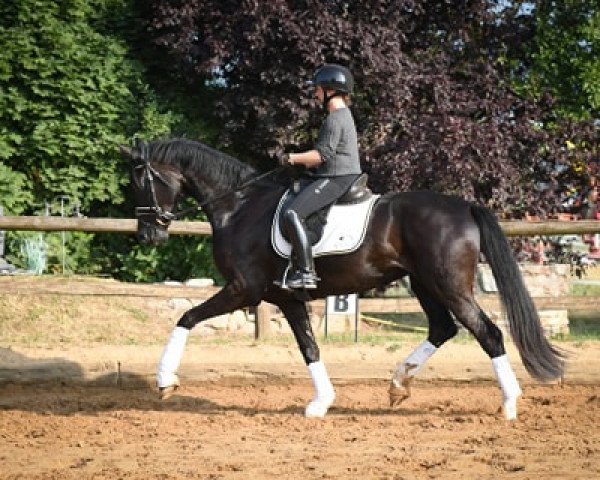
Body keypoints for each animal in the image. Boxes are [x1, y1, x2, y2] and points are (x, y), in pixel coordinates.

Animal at [120, 139, 564, 420]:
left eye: (140, 179)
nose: (148, 235)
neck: (240, 206)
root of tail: (464, 206)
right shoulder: (287, 299)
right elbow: (309, 348)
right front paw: (321, 403)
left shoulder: (243, 289)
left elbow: (186, 318)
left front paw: (165, 381)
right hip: (424, 284)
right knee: (442, 329)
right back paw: (398, 384)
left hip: (450, 286)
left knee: (488, 333)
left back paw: (509, 404)